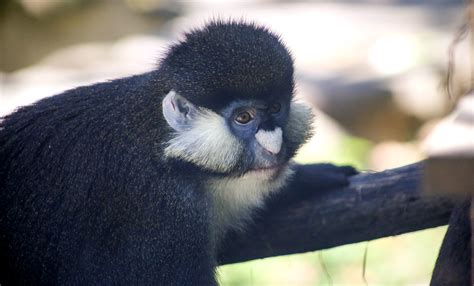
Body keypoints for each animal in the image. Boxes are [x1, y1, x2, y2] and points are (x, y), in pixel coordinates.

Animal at [0, 21, 356, 284]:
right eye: (243, 118)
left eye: (275, 109)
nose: (274, 145)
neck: (165, 143)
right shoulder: (168, 214)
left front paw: (313, 176)